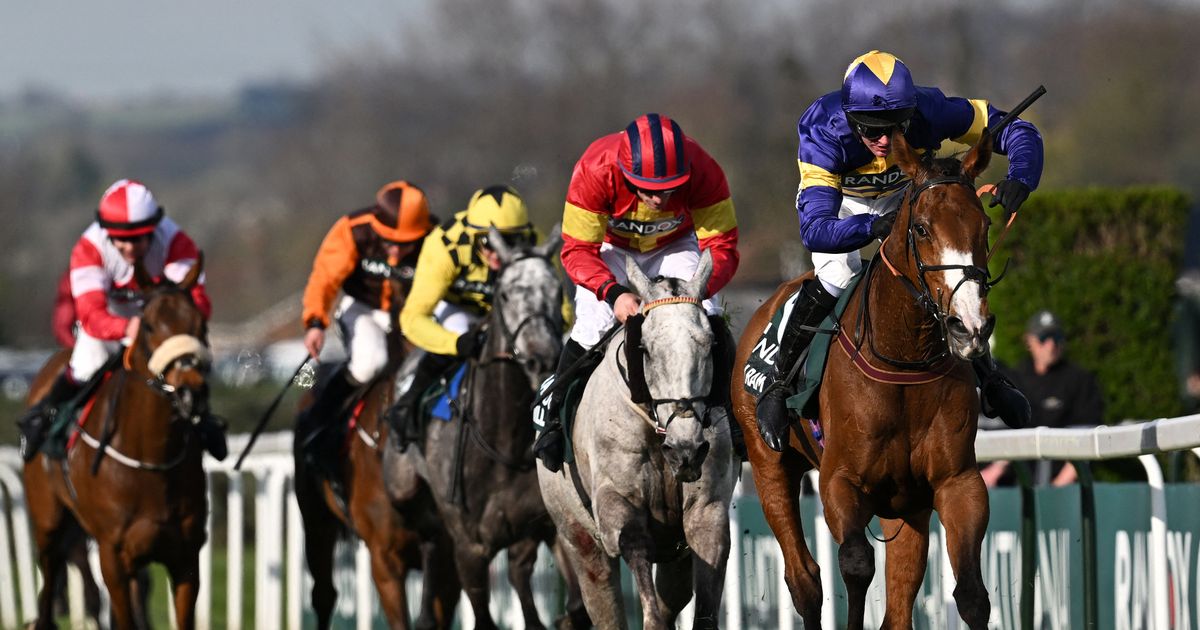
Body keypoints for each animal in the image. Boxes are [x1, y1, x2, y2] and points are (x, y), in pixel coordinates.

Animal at [23, 256, 212, 628]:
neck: (151, 459)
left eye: (201, 325)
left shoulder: (186, 557)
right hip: (49, 525)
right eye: (149, 326)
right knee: (50, 582)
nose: (190, 391)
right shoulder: (113, 556)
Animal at [384, 225, 590, 628]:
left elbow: (573, 606)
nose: (541, 357)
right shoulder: (471, 550)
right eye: (506, 294)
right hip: (408, 492)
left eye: (556, 292)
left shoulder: (545, 529)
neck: (503, 441)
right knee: (430, 541)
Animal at [537, 250, 739, 628]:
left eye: (710, 345)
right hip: (578, 539)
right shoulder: (618, 506)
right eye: (645, 348)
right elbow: (648, 605)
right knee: (604, 603)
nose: (686, 450)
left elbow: (701, 612)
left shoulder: (707, 513)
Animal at [734, 130, 998, 624]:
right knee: (805, 580)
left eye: (985, 226)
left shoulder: (957, 482)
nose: (968, 327)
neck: (903, 363)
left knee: (898, 603)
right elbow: (855, 564)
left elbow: (972, 594)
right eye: (921, 228)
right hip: (768, 465)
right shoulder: (839, 481)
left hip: (905, 506)